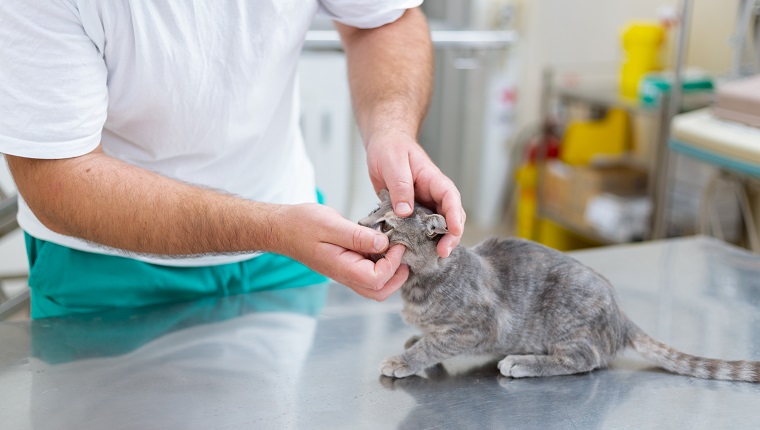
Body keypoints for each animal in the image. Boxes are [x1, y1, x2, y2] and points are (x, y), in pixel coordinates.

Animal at [358, 190, 760, 382]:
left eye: (386, 226)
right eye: (370, 211)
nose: (361, 225)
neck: (419, 286)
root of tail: (621, 315)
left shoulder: (477, 328)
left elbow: (433, 345)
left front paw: (406, 358)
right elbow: (429, 337)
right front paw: (415, 338)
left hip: (567, 319)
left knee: (586, 359)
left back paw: (523, 362)